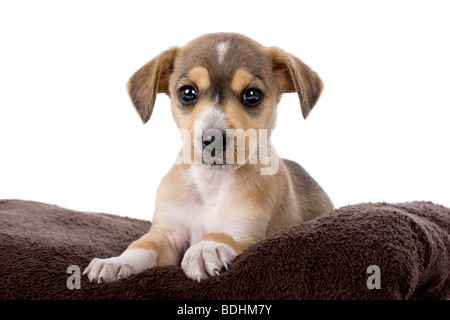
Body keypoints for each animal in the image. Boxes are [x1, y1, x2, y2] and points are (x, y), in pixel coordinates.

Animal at [83, 32, 334, 282]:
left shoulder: (244, 231)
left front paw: (206, 248)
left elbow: (220, 235)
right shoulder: (167, 233)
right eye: (187, 92)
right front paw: (116, 262)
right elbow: (142, 246)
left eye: (252, 95)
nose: (213, 139)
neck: (211, 185)